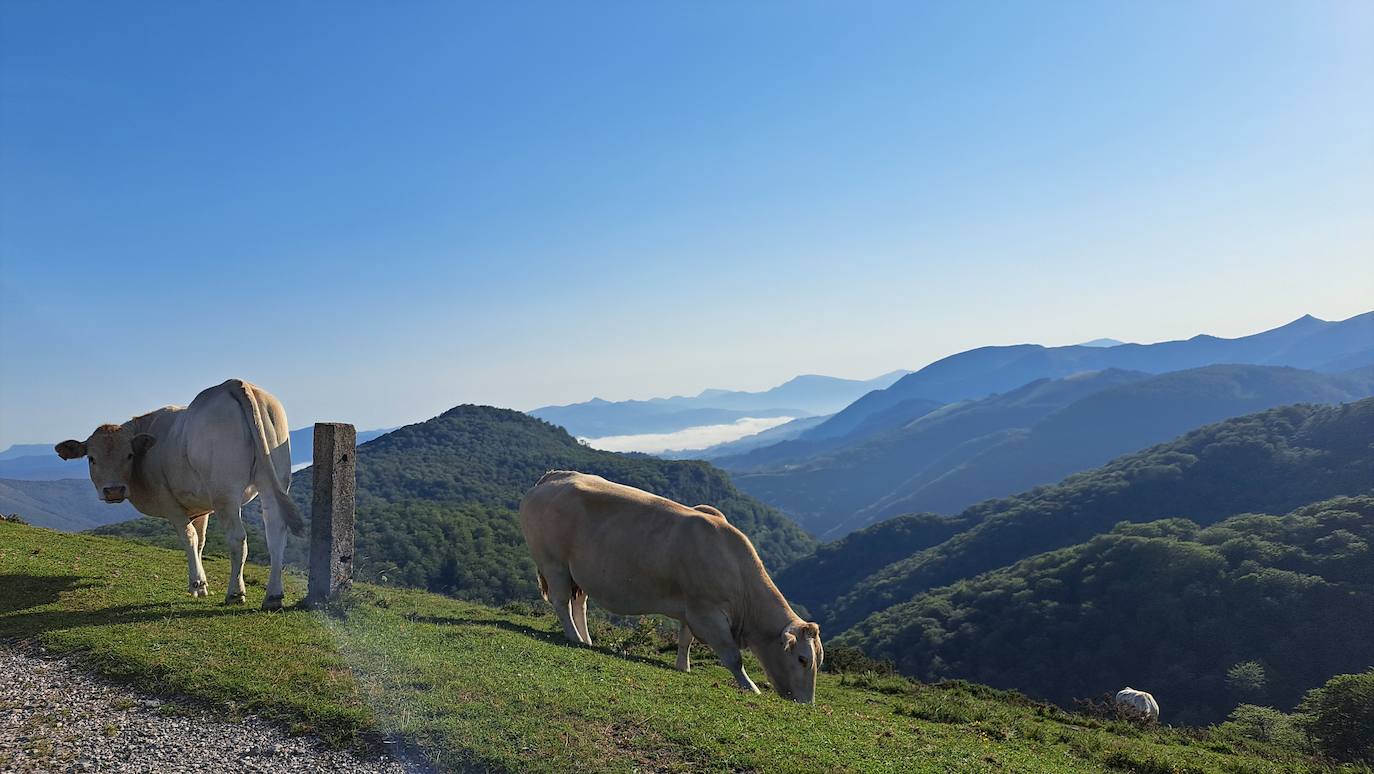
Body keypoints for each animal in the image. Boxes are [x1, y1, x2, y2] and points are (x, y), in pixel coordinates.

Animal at [55, 382, 300, 613]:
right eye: (92, 458)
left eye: (129, 455)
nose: (114, 490)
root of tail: (233, 383)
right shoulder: (201, 506)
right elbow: (200, 541)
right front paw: (203, 585)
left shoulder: (168, 501)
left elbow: (189, 537)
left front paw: (196, 584)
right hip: (274, 480)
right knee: (276, 533)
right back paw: (273, 596)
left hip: (225, 492)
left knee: (238, 539)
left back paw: (235, 593)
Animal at [516, 472, 818, 703]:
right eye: (803, 659)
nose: (806, 703)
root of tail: (552, 476)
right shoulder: (707, 613)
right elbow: (733, 657)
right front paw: (750, 687)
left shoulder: (691, 608)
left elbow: (685, 640)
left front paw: (683, 667)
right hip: (554, 563)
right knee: (562, 602)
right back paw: (574, 637)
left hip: (579, 574)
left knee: (579, 603)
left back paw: (586, 640)